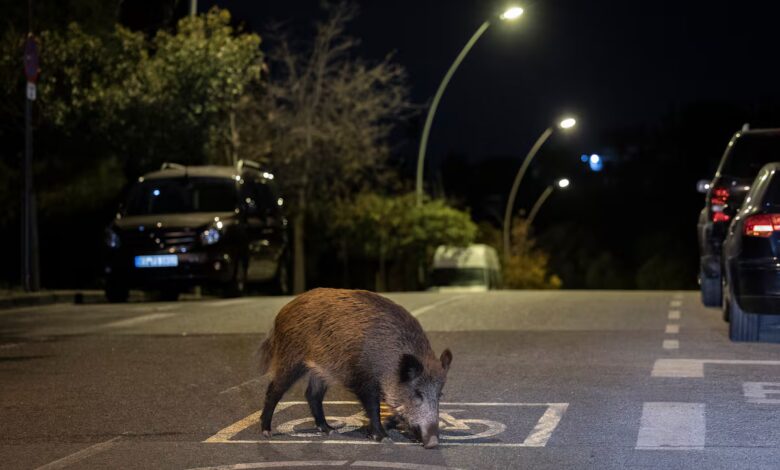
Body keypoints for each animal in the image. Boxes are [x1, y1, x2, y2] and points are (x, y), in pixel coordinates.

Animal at [256, 288, 453, 449]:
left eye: (440, 394)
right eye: (417, 393)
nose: (433, 443)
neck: (390, 366)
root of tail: (282, 312)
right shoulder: (364, 380)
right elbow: (373, 407)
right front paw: (383, 438)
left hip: (320, 370)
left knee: (312, 395)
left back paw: (330, 430)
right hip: (291, 358)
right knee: (274, 390)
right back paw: (267, 432)